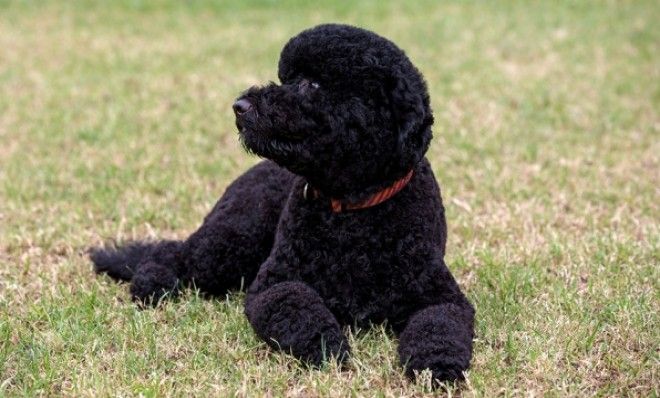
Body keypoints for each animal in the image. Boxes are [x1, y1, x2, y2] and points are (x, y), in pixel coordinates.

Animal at [93, 23, 474, 384]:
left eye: (312, 84)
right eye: (286, 78)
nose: (240, 106)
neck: (351, 210)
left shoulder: (440, 296)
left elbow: (438, 327)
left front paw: (437, 367)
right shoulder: (273, 283)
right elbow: (297, 306)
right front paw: (327, 346)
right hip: (231, 241)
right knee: (173, 254)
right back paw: (151, 284)